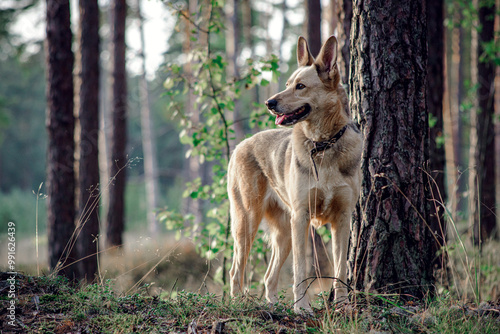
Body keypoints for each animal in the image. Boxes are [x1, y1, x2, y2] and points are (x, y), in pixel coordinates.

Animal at [229, 36, 362, 314]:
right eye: (288, 84)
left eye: (300, 86)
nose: (269, 103)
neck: (323, 145)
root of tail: (241, 145)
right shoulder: (301, 217)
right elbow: (301, 269)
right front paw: (302, 307)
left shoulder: (343, 219)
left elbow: (340, 270)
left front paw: (342, 306)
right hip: (247, 222)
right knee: (236, 271)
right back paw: (237, 304)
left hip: (283, 234)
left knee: (268, 276)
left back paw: (271, 305)